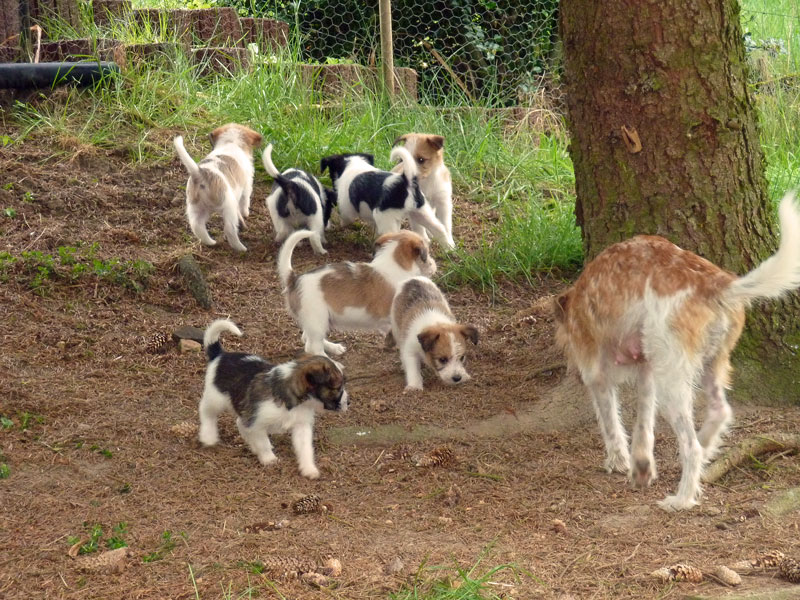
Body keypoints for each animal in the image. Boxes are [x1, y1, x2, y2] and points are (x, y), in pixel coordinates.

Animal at [174, 123, 262, 252]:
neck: (231, 142)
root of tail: (200, 174)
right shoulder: (247, 186)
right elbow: (245, 202)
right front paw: (246, 213)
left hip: (196, 208)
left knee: (197, 227)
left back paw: (211, 242)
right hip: (229, 207)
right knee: (229, 229)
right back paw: (241, 248)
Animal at [198, 319, 348, 479]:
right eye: (337, 387)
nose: (348, 403)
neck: (294, 400)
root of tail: (220, 355)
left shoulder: (301, 426)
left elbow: (305, 449)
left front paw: (309, 468)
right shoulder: (256, 422)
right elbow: (262, 442)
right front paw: (269, 459)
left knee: (239, 423)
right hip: (215, 399)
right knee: (206, 412)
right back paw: (208, 436)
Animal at [278, 229, 437, 357]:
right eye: (427, 254)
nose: (435, 265)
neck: (394, 264)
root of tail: (294, 279)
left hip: (316, 321)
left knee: (307, 338)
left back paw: (334, 348)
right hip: (317, 319)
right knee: (312, 347)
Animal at [320, 147, 455, 249]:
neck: (354, 164)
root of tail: (405, 181)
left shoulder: (347, 208)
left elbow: (345, 218)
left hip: (387, 219)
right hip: (422, 212)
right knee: (440, 228)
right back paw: (449, 249)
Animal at [553, 192, 800, 511]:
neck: (577, 302)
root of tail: (717, 284)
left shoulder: (598, 376)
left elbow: (611, 423)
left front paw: (618, 461)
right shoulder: (647, 373)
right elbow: (643, 426)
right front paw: (641, 466)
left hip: (672, 380)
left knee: (690, 446)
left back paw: (682, 498)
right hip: (708, 364)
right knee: (720, 412)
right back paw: (706, 446)